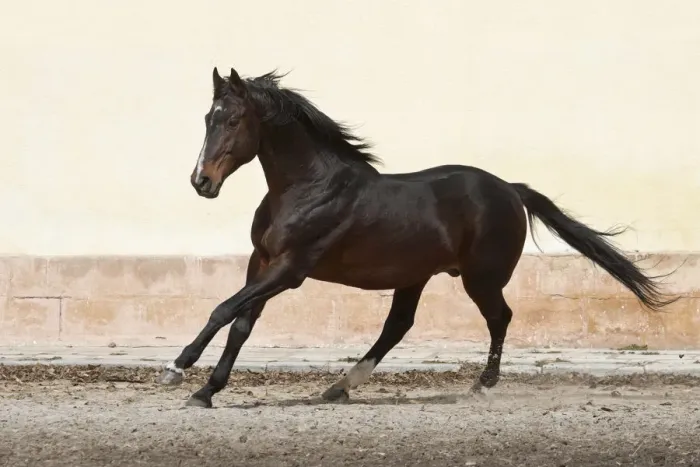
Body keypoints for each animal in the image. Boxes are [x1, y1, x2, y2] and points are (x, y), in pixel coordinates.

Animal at [156, 67, 678, 408]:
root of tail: (510, 189)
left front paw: (178, 368)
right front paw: (205, 391)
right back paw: (340, 386)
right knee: (398, 327)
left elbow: (224, 309)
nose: (201, 182)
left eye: (233, 120)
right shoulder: (261, 262)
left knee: (500, 317)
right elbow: (241, 322)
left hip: (480, 278)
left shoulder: (291, 269)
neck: (307, 186)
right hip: (415, 276)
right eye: (208, 118)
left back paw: (482, 384)